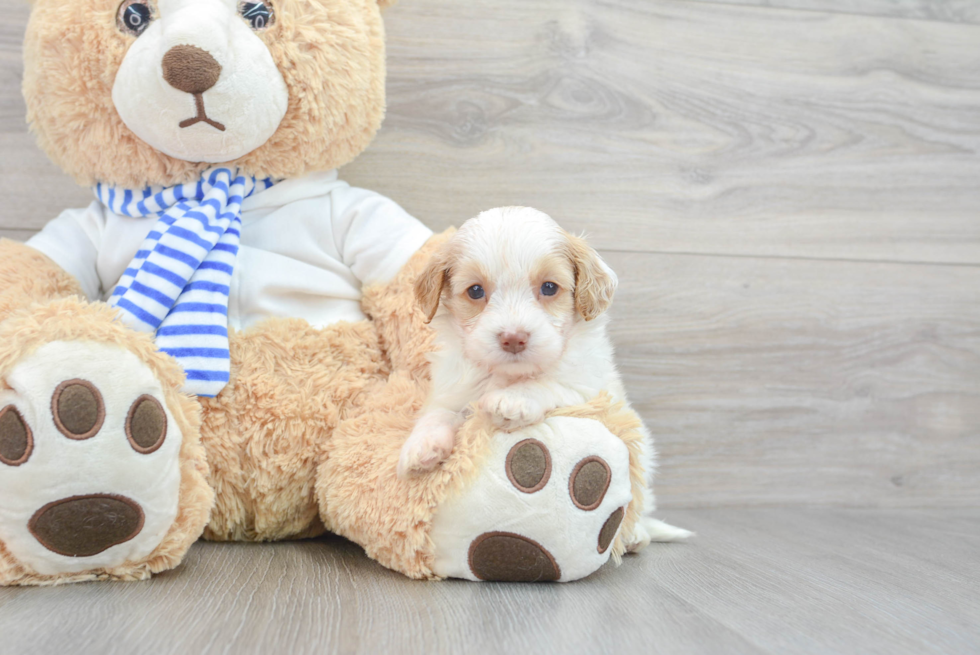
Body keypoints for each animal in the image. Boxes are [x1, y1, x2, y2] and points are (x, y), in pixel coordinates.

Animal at [396, 209, 688, 548]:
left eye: (549, 287)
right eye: (475, 291)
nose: (513, 338)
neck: (507, 374)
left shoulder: (585, 384)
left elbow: (548, 382)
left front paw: (511, 401)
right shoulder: (452, 388)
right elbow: (438, 413)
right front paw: (421, 447)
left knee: (642, 503)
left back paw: (636, 534)